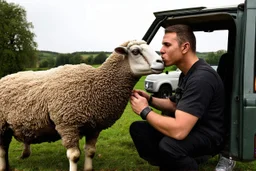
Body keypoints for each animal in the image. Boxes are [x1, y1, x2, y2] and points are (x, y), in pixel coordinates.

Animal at [0, 40, 164, 171]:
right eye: (135, 51)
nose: (161, 62)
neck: (96, 85)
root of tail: (5, 77)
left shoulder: (95, 127)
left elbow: (90, 151)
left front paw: (88, 168)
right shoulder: (68, 125)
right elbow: (74, 156)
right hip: (2, 125)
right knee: (2, 150)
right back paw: (3, 167)